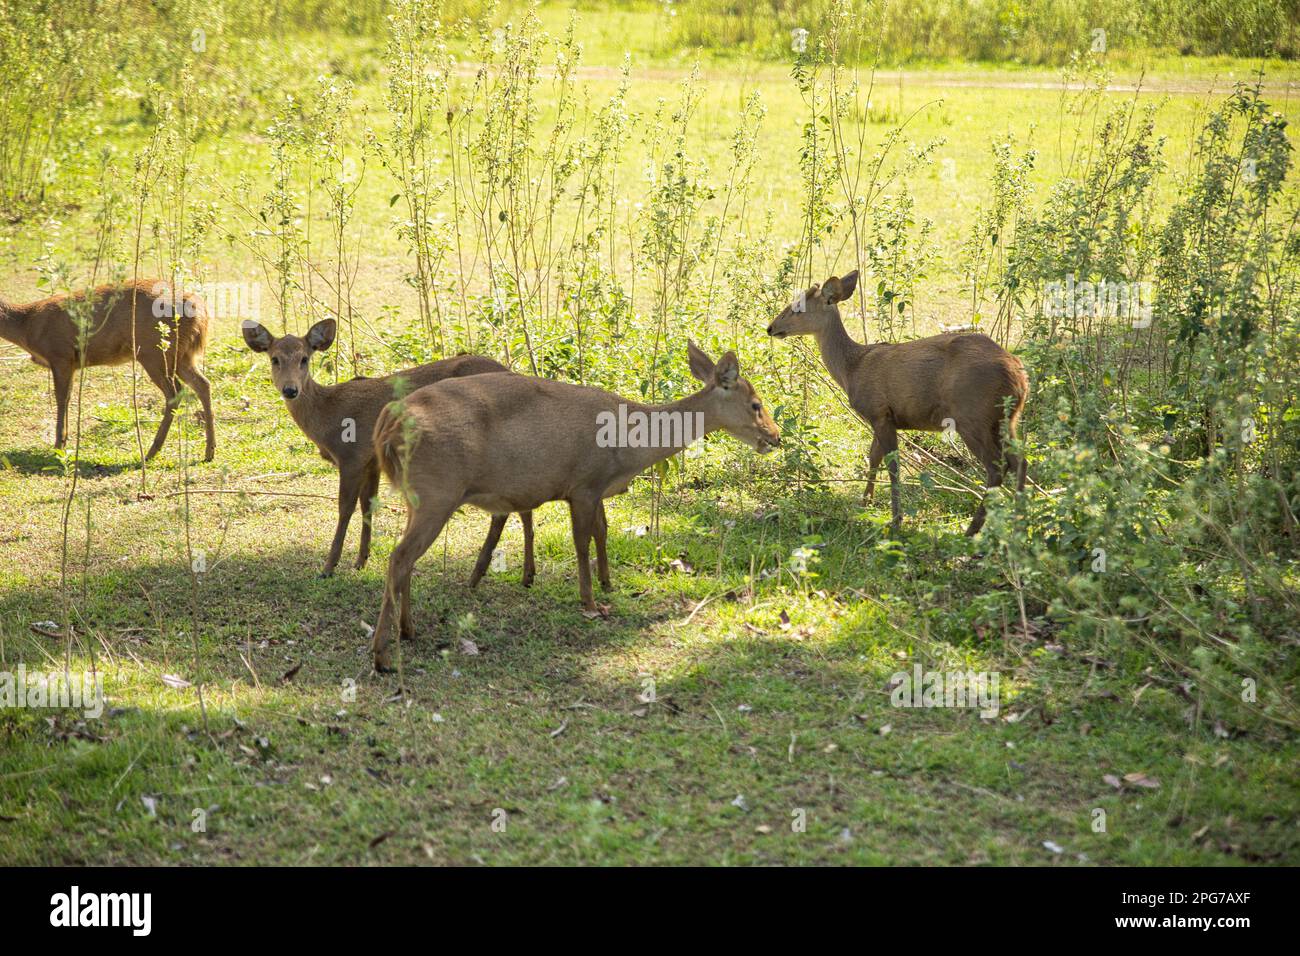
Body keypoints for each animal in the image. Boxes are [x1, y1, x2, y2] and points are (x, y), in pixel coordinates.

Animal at [0, 278, 215, 463]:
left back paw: (151, 452)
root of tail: (198, 309)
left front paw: (58, 447)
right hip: (181, 355)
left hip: (154, 351)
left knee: (175, 392)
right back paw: (209, 451)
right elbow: (67, 398)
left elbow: (61, 399)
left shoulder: (61, 355)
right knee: (203, 384)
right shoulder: (70, 363)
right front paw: (63, 444)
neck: (26, 325)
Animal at [241, 317, 535, 580]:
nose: (290, 390)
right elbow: (367, 506)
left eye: (304, 358)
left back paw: (485, 572)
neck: (328, 417)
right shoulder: (371, 463)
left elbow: (344, 509)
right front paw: (361, 561)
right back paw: (521, 574)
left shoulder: (352, 457)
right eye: (274, 359)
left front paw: (328, 567)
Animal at [366, 343, 774, 671]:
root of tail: (388, 423)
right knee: (399, 557)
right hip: (439, 490)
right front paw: (590, 602)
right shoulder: (584, 484)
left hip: (416, 497)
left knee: (405, 559)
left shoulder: (595, 488)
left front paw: (608, 584)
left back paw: (408, 630)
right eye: (756, 404)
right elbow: (582, 543)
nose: (775, 436)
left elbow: (601, 532)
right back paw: (383, 655)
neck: (632, 442)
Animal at [764, 270, 1029, 538]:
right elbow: (873, 457)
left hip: (972, 416)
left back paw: (973, 530)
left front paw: (895, 520)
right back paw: (1019, 523)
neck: (852, 369)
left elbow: (892, 466)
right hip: (1006, 419)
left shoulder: (880, 411)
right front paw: (864, 504)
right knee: (1020, 461)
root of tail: (1018, 377)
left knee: (996, 466)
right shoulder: (881, 417)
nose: (771, 327)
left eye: (798, 306)